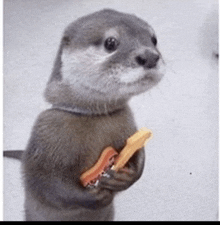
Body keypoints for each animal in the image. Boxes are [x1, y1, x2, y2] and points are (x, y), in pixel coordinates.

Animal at [3, 9, 163, 221]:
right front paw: (95, 196)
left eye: (154, 39)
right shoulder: (42, 139)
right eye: (110, 42)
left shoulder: (130, 125)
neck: (92, 115)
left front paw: (127, 176)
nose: (150, 56)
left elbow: (139, 151)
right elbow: (47, 184)